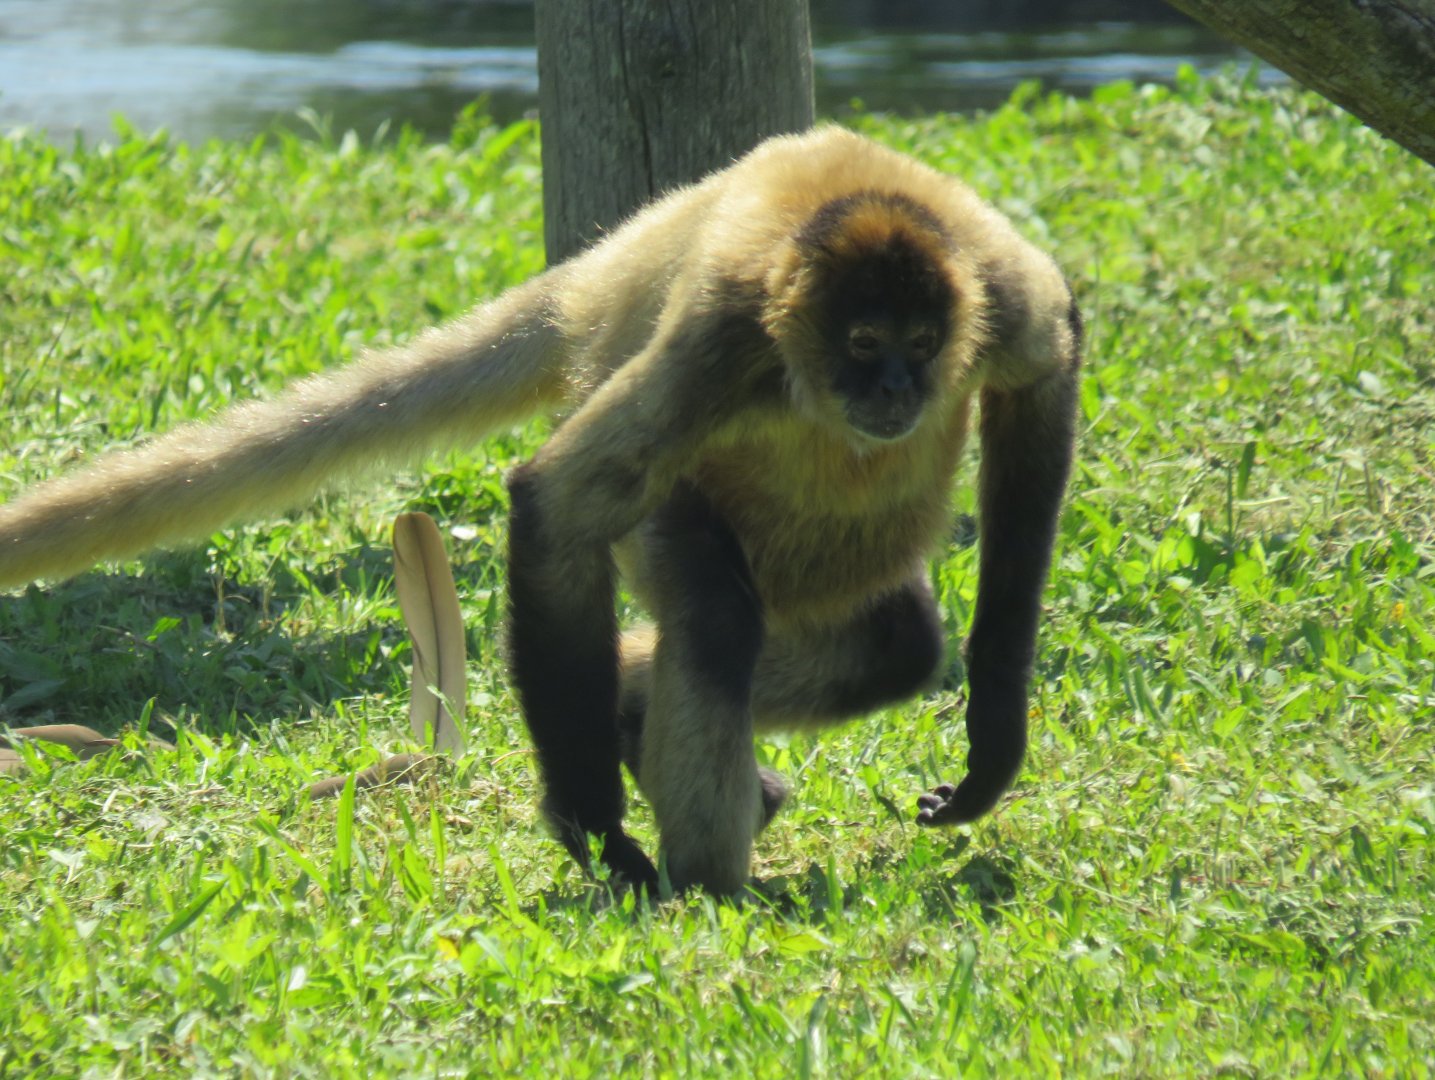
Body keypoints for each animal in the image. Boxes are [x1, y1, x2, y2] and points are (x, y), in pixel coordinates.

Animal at [0, 126, 1081, 896]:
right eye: (863, 342)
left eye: (921, 342)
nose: (897, 389)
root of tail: (609, 270)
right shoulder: (724, 339)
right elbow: (555, 501)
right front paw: (596, 837)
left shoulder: (992, 292)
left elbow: (1046, 365)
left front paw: (994, 739)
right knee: (719, 614)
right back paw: (706, 881)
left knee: (890, 644)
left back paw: (637, 715)